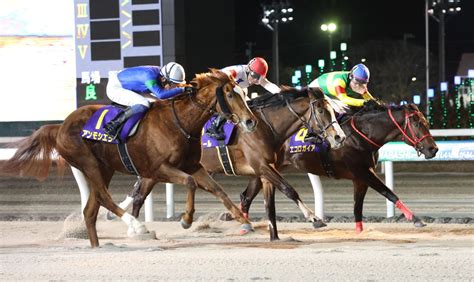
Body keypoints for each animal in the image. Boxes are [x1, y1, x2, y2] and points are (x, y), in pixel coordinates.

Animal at [1, 69, 258, 248]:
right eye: (229, 94)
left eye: (243, 93)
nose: (250, 121)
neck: (180, 123)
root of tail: (61, 125)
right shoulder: (156, 169)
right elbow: (189, 182)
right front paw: (186, 219)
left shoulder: (193, 165)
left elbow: (217, 190)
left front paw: (243, 220)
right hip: (88, 163)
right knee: (104, 197)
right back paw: (138, 227)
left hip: (104, 167)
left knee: (91, 208)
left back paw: (98, 247)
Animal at [120, 86, 346, 240]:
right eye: (321, 111)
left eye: (332, 110)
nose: (339, 137)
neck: (266, 127)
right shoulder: (262, 167)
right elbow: (289, 190)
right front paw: (315, 219)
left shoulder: (264, 170)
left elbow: (268, 203)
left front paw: (274, 236)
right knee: (139, 197)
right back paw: (135, 229)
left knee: (139, 197)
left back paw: (136, 229)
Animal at [239, 102, 438, 235]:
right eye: (417, 123)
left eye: (427, 123)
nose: (433, 149)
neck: (362, 134)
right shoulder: (363, 172)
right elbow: (389, 193)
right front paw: (416, 219)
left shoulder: (359, 178)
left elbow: (357, 208)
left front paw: (359, 231)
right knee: (246, 197)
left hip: (263, 170)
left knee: (246, 196)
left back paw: (245, 226)